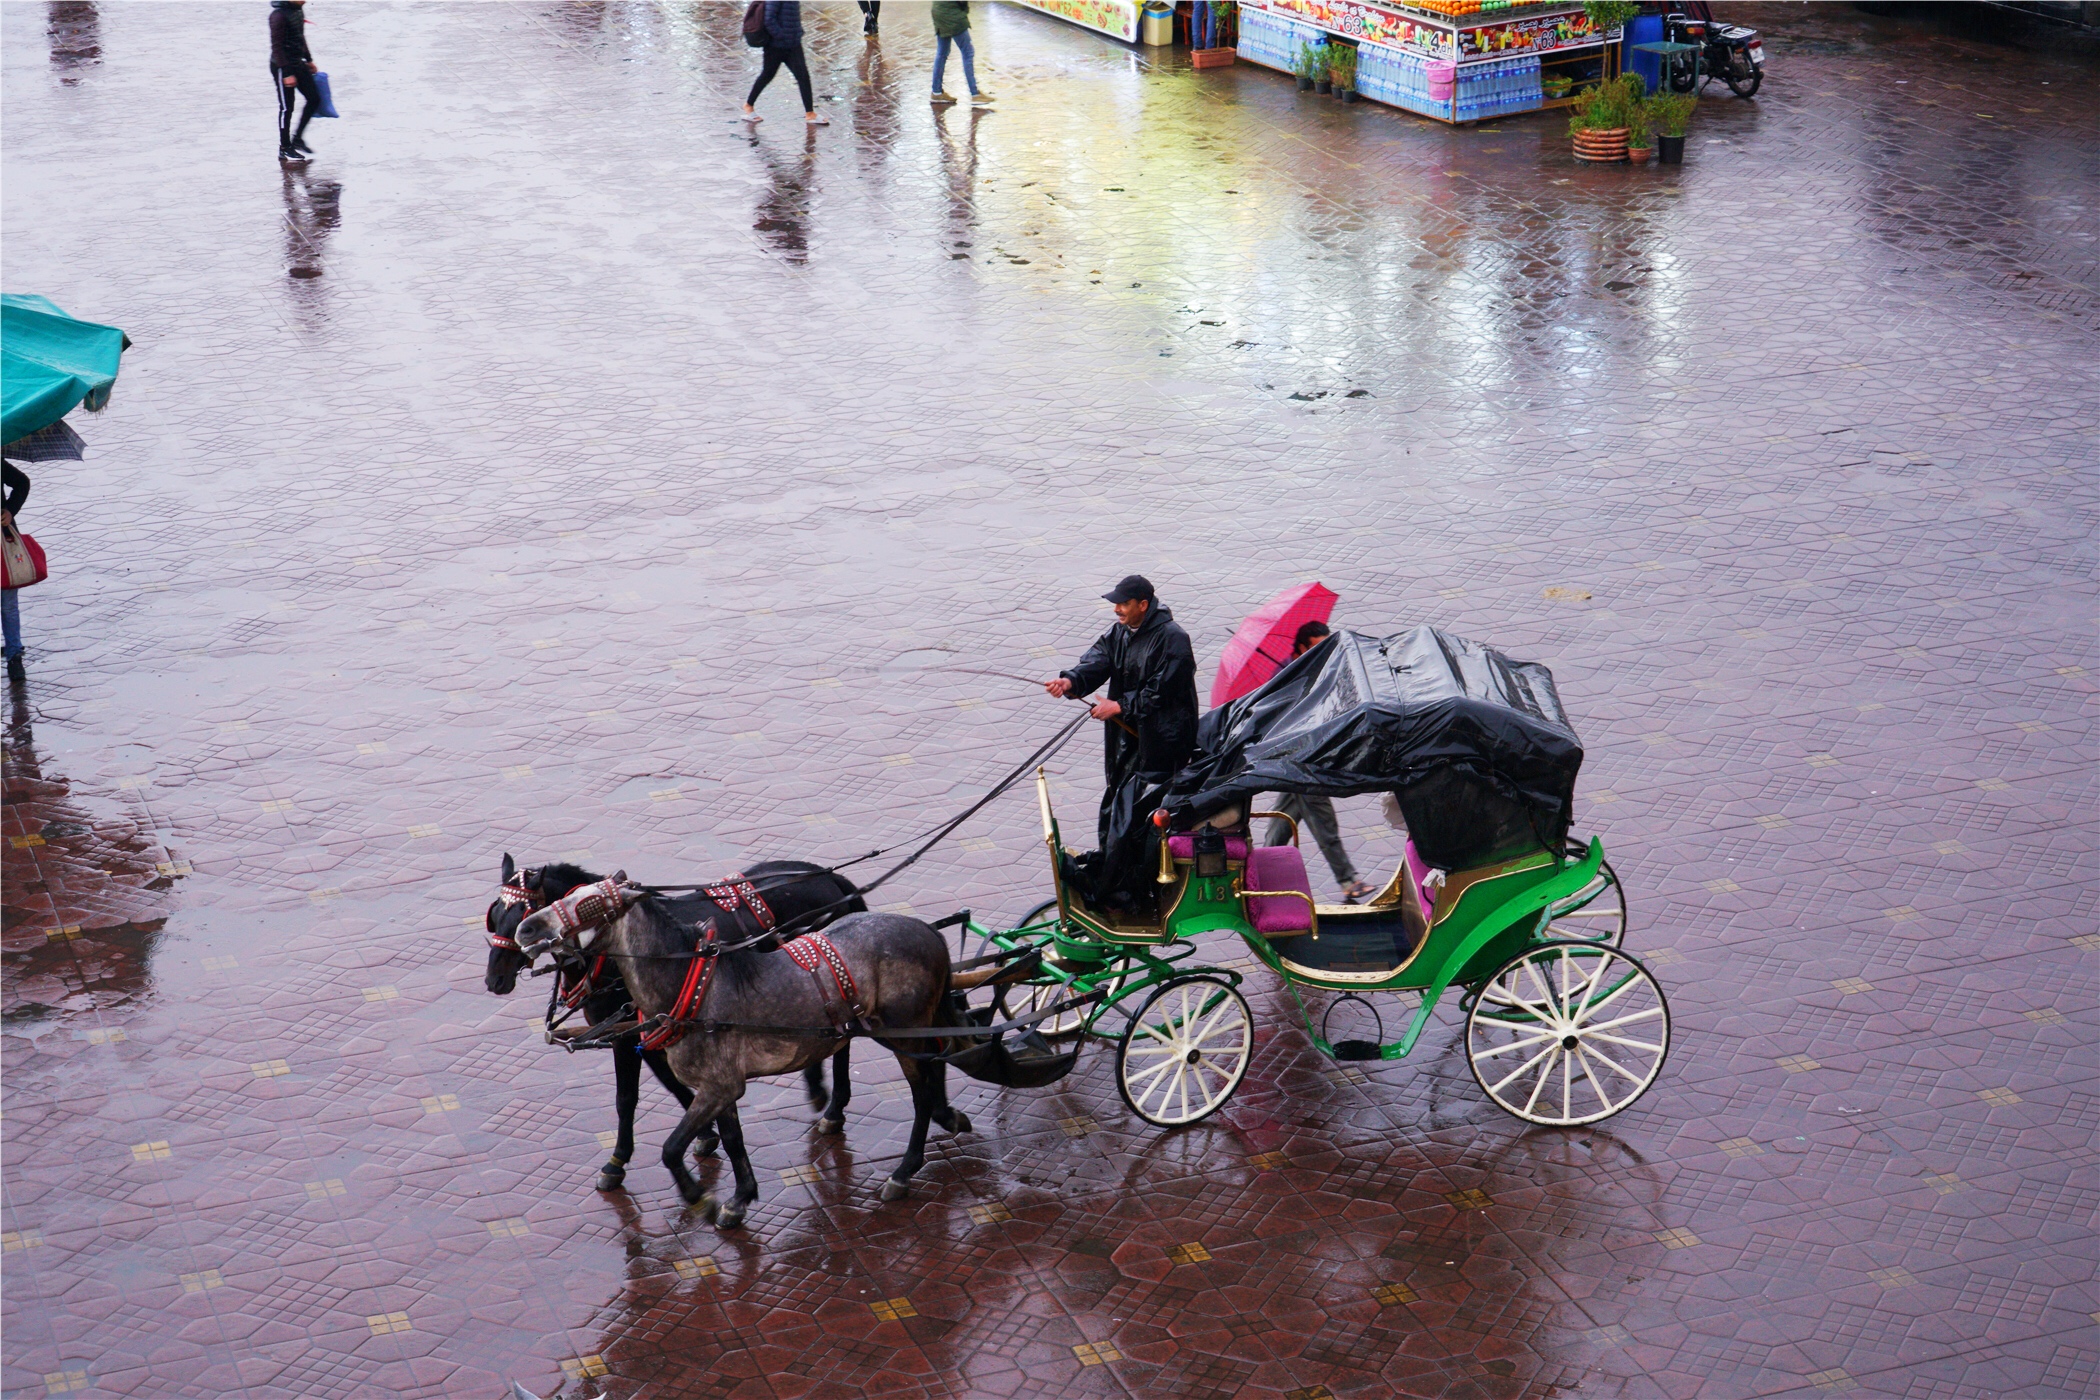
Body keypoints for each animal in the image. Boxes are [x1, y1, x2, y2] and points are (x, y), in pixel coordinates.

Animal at [482, 856, 860, 1192]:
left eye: (521, 913)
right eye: (495, 915)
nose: (494, 980)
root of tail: (830, 877)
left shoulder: (628, 1036)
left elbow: (627, 1098)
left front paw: (617, 1162)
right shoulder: (647, 1031)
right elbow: (671, 1082)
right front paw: (707, 1133)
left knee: (845, 1041)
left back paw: (834, 1108)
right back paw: (816, 1084)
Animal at [516, 885, 965, 1225]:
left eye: (590, 905)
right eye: (568, 895)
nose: (527, 927)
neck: (690, 989)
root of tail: (930, 933)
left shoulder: (716, 1086)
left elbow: (671, 1148)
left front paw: (700, 1198)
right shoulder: (720, 1085)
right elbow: (732, 1139)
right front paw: (739, 1198)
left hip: (906, 1030)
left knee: (922, 1093)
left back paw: (904, 1171)